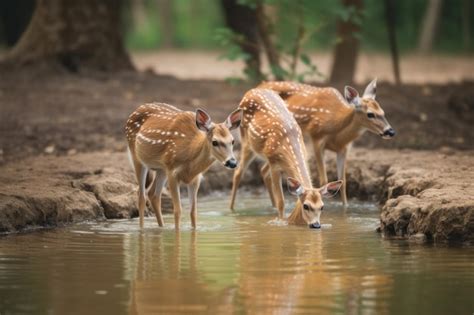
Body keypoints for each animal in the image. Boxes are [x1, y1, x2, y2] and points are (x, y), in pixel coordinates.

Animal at [229, 89, 340, 230]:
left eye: (322, 207)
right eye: (306, 206)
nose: (316, 225)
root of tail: (251, 91)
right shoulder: (275, 165)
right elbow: (281, 201)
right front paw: (281, 222)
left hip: (265, 155)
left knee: (262, 171)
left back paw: (271, 207)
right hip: (247, 142)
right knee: (238, 172)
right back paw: (231, 209)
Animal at [258, 80, 394, 206]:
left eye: (383, 112)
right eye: (370, 114)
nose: (390, 131)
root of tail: (260, 85)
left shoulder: (344, 149)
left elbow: (343, 181)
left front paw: (346, 209)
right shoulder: (317, 139)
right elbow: (324, 180)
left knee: (264, 171)